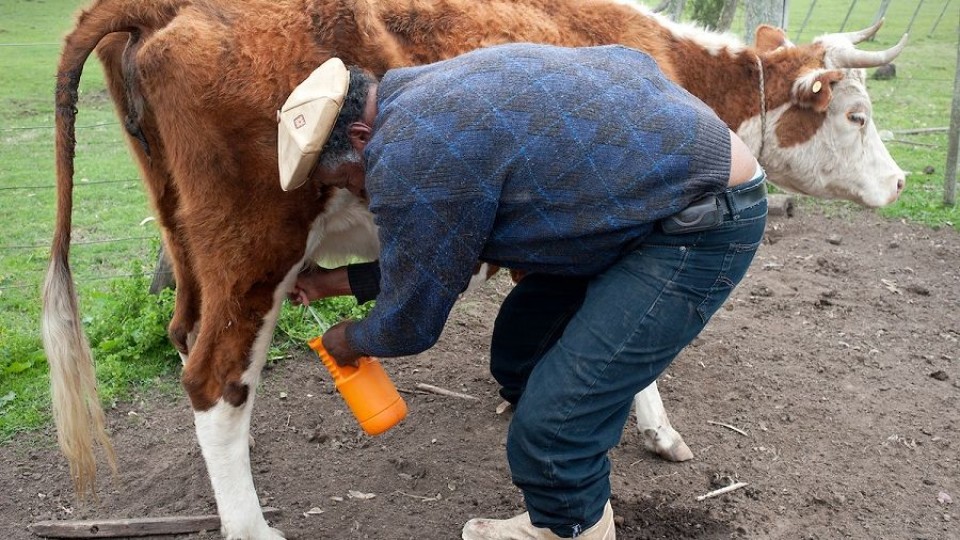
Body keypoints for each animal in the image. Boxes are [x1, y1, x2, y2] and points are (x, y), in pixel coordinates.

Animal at [43, 2, 908, 536]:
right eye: (857, 115)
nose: (900, 183)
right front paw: (657, 430)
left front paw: (522, 389)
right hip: (252, 248)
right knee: (216, 381)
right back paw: (253, 528)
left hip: (191, 252)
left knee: (184, 338)